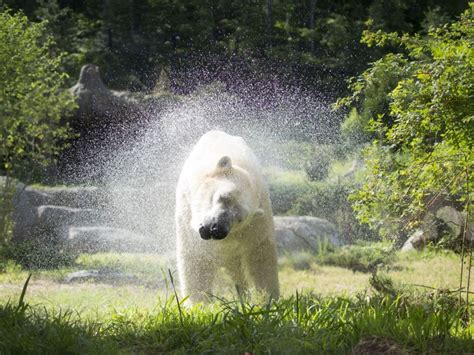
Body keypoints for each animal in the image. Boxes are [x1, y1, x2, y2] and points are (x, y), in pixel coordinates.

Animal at [175, 132, 280, 304]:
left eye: (240, 218)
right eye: (223, 197)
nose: (216, 228)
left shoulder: (256, 224)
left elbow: (260, 254)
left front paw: (269, 300)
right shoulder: (186, 214)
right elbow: (195, 258)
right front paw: (199, 303)